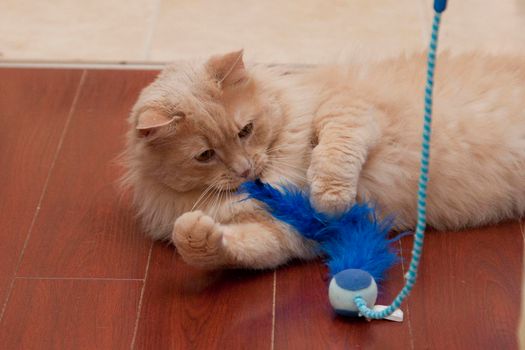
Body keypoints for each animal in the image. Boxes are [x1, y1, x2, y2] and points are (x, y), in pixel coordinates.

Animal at [119, 50, 524, 268]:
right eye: (205, 155)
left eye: (245, 131)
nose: (246, 169)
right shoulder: (285, 233)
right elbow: (227, 249)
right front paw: (195, 233)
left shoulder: (347, 108)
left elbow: (334, 152)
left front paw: (329, 197)